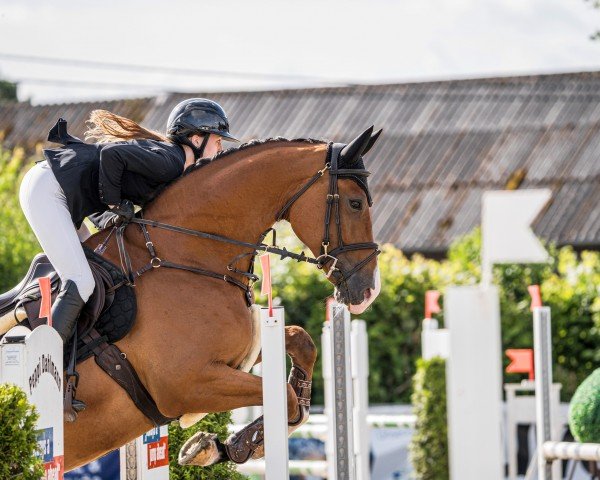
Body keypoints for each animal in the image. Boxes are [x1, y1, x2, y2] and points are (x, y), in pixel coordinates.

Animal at [64, 125, 380, 470]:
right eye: (355, 204)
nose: (370, 291)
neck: (187, 255)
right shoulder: (188, 385)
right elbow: (285, 396)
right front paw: (232, 445)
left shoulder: (236, 356)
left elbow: (301, 342)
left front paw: (228, 444)